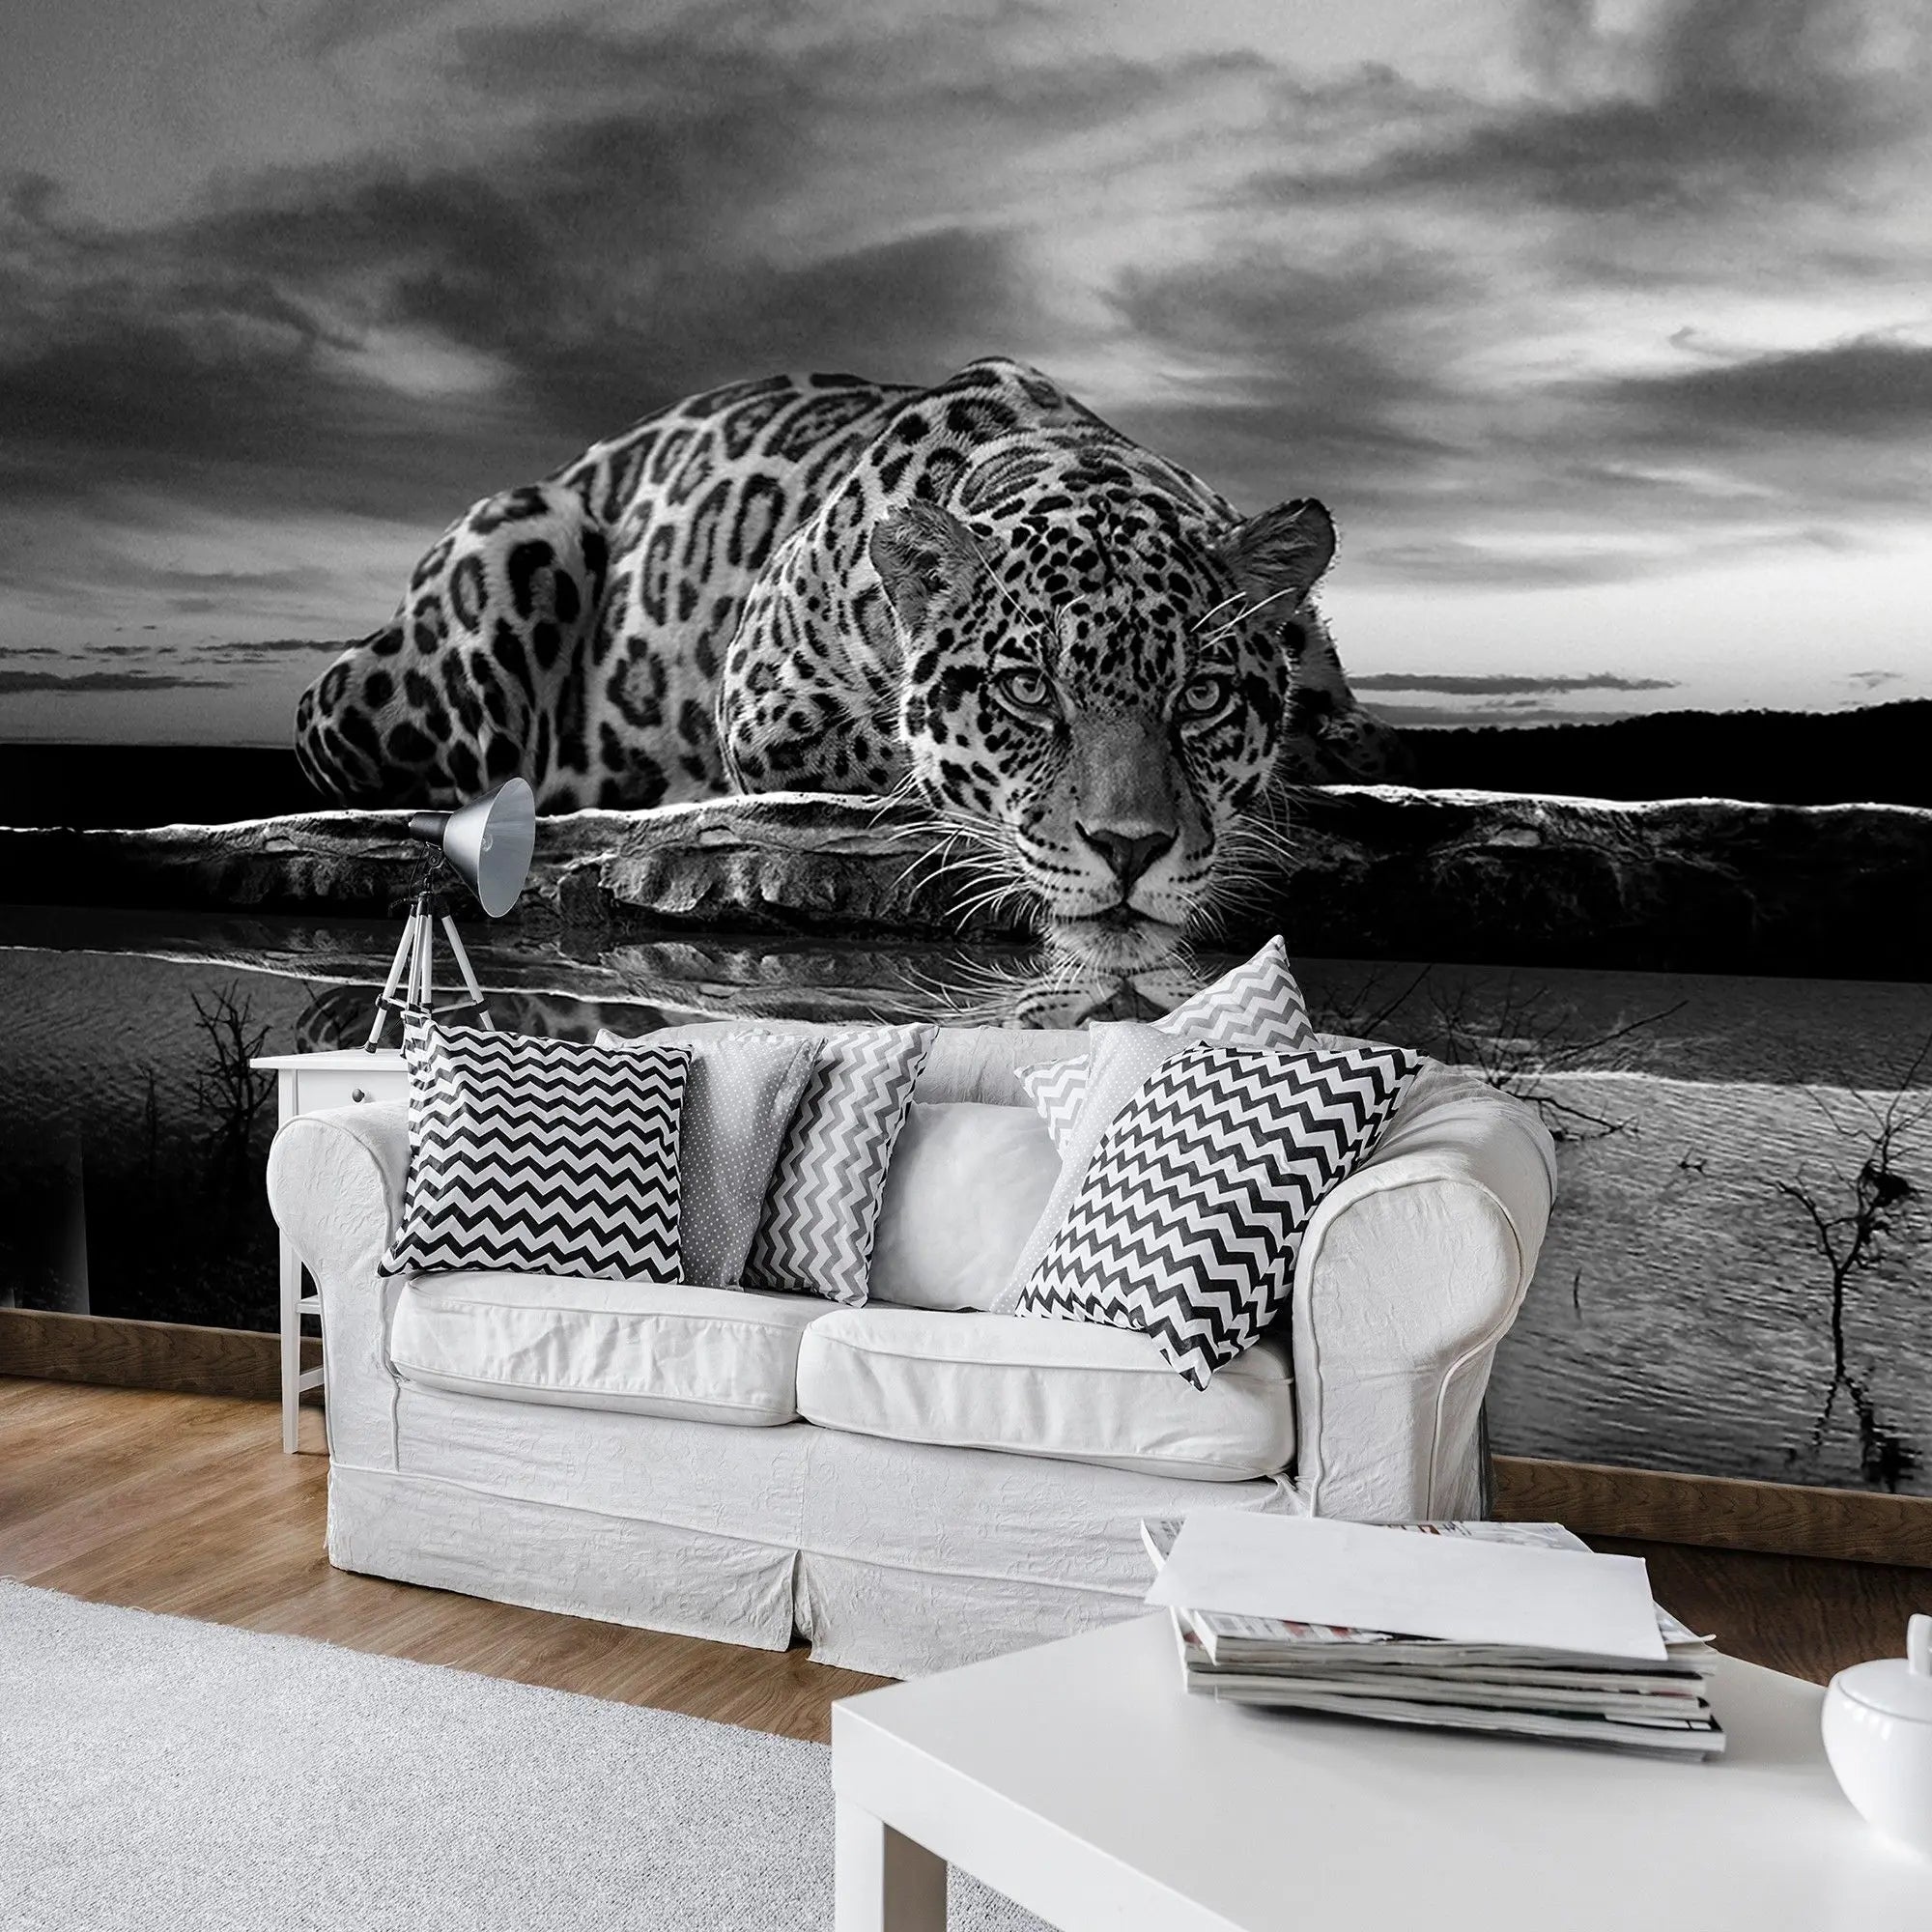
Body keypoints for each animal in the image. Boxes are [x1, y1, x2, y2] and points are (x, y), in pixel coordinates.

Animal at [295, 356, 1405, 971]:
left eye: (1202, 695)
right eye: (1026, 690)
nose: (1129, 852)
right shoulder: (766, 708)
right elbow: (909, 762)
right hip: (515, 539)